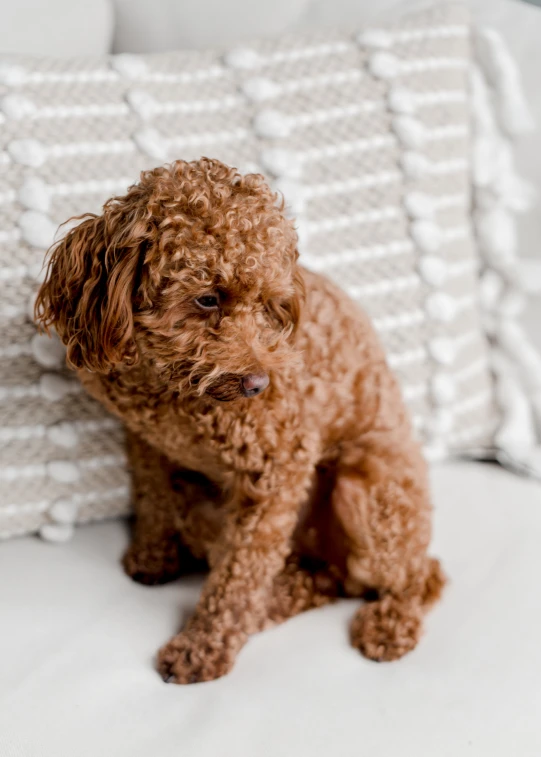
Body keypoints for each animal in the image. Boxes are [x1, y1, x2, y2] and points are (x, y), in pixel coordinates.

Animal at [37, 158, 442, 684]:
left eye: (269, 303)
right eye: (208, 298)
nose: (258, 384)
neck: (170, 388)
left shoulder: (278, 470)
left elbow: (238, 579)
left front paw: (203, 648)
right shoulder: (147, 443)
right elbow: (152, 501)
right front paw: (153, 556)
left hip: (367, 486)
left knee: (419, 575)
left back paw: (388, 625)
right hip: (211, 508)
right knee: (325, 578)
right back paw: (280, 598)